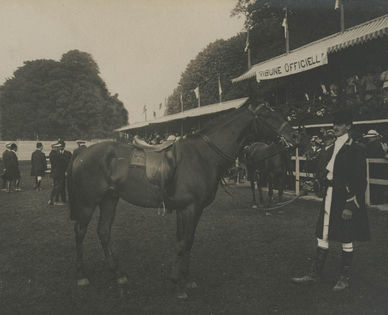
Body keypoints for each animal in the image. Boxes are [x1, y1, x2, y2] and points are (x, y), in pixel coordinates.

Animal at [67, 102, 300, 300]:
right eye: (268, 114)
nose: (295, 135)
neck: (203, 156)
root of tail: (82, 153)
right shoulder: (191, 208)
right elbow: (185, 242)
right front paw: (178, 285)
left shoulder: (185, 209)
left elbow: (186, 241)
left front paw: (185, 280)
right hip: (88, 202)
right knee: (79, 232)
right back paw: (81, 275)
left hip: (109, 199)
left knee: (103, 232)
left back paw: (118, 273)